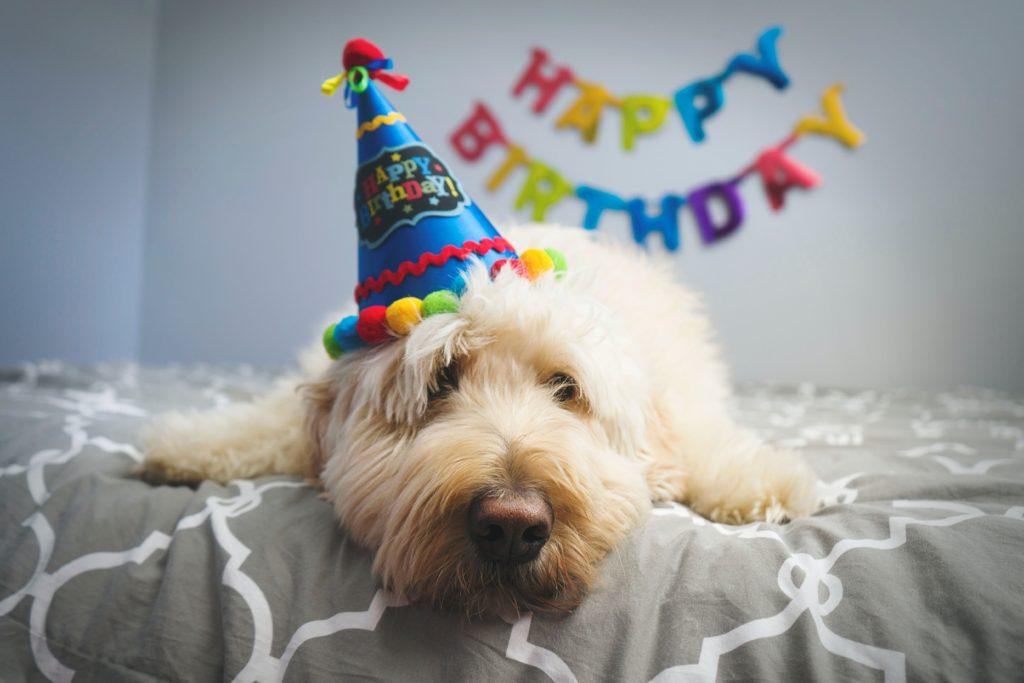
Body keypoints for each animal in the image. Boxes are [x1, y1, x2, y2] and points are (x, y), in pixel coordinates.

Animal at [142, 225, 815, 618]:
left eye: (565, 388)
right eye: (440, 381)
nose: (512, 526)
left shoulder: (681, 403)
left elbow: (705, 445)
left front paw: (768, 483)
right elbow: (269, 423)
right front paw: (185, 443)